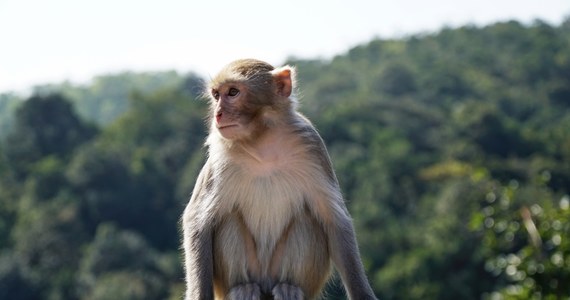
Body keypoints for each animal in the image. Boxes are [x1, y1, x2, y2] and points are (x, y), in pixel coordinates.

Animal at [183, 59, 378, 300]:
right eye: (216, 95)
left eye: (233, 92)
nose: (218, 114)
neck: (262, 142)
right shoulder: (220, 158)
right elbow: (197, 221)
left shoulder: (312, 146)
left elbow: (335, 219)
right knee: (230, 220)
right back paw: (243, 287)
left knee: (306, 220)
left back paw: (289, 286)